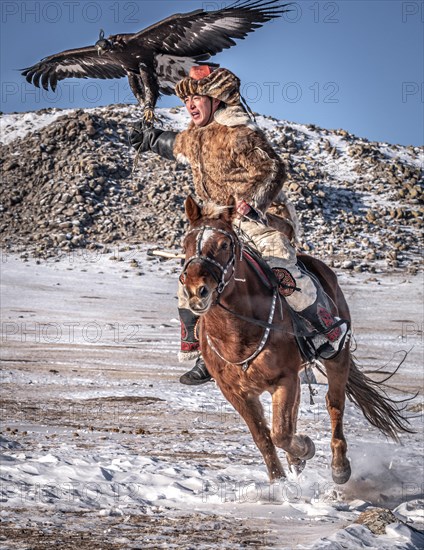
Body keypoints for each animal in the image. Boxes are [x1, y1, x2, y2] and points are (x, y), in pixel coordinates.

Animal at [181, 196, 412, 486]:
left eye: (224, 244)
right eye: (186, 244)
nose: (195, 291)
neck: (238, 333)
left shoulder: (285, 379)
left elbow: (280, 433)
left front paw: (306, 448)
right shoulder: (235, 392)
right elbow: (263, 437)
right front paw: (279, 483)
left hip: (337, 357)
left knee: (334, 404)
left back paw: (339, 467)